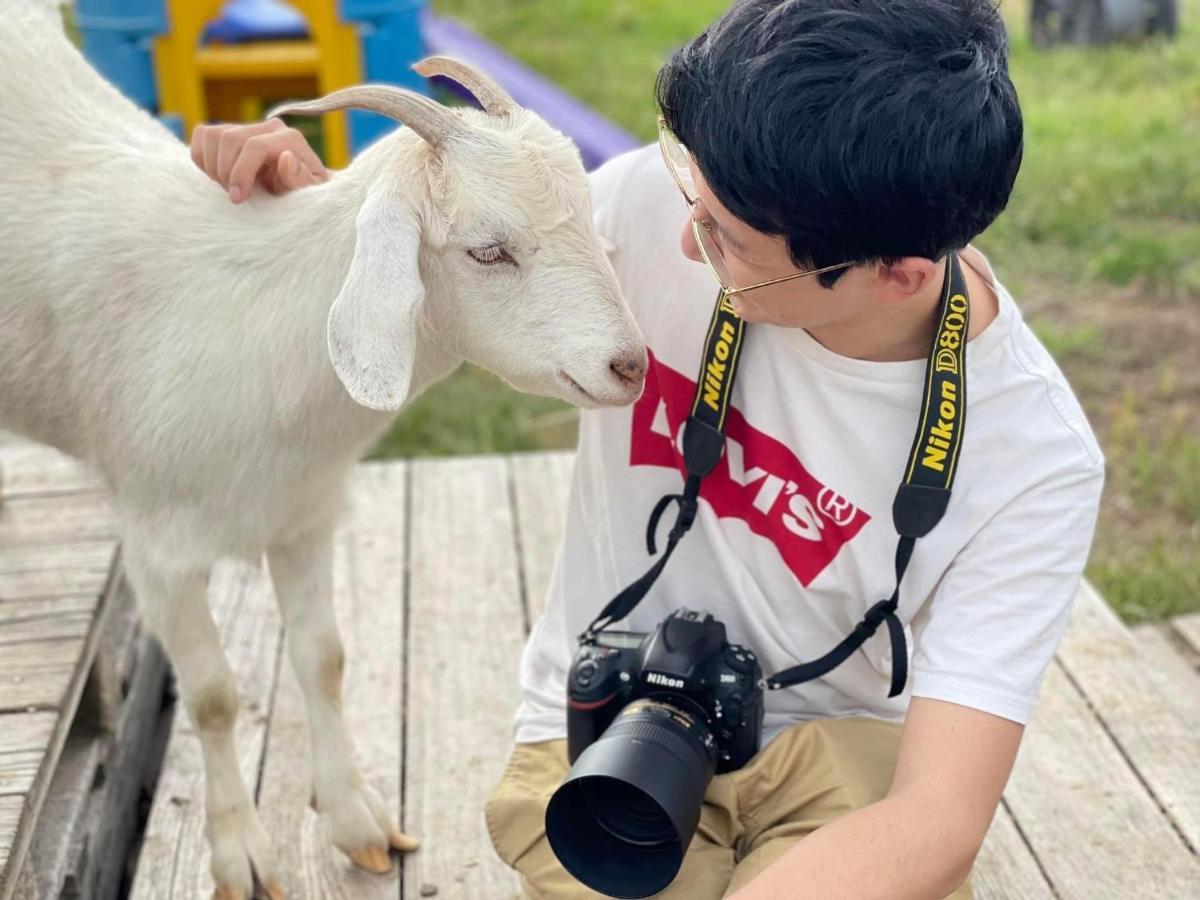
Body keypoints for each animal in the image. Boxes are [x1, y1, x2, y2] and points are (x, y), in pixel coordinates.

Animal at [0, 3, 648, 897]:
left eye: (587, 215)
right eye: (489, 250)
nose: (630, 366)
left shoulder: (302, 516)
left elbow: (324, 658)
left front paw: (356, 820)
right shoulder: (158, 551)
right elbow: (212, 695)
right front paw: (240, 852)